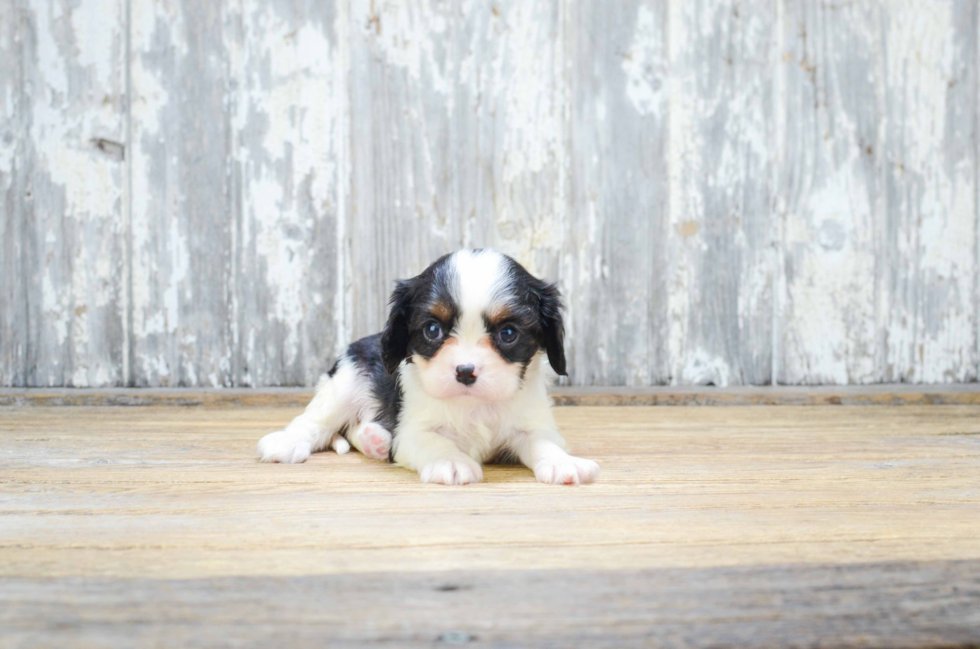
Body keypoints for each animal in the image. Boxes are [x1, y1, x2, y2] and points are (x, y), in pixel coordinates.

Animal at [256, 249, 600, 486]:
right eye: (432, 330)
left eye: (508, 333)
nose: (465, 371)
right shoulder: (412, 432)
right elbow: (436, 441)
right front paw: (451, 462)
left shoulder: (533, 423)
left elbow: (543, 442)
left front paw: (563, 462)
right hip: (344, 382)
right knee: (315, 421)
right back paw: (289, 442)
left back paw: (374, 440)